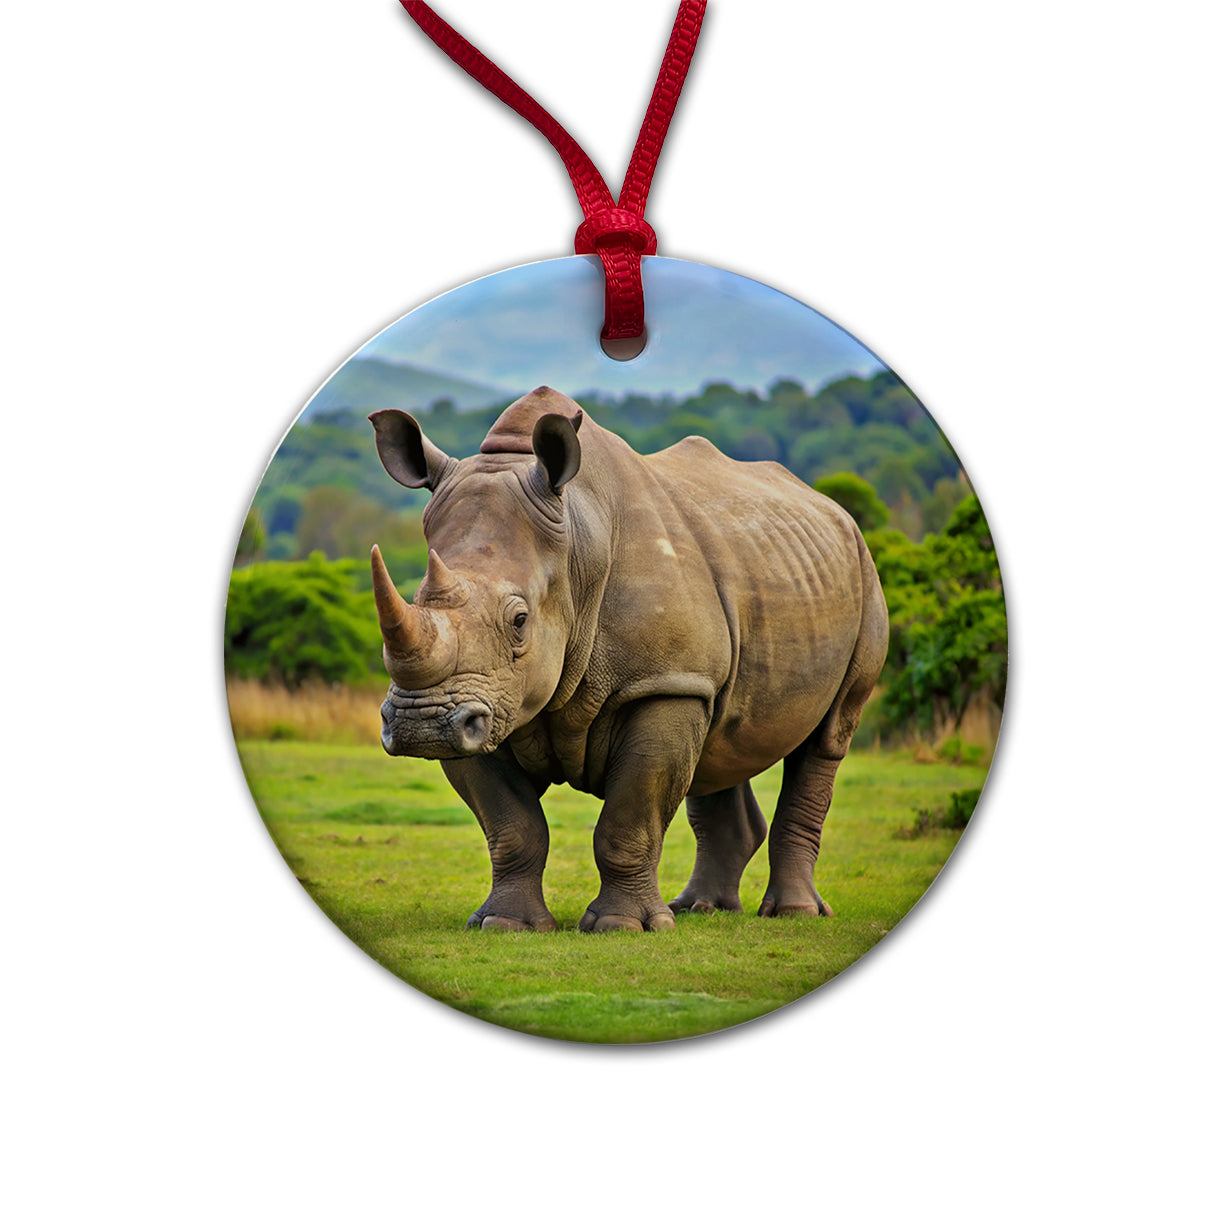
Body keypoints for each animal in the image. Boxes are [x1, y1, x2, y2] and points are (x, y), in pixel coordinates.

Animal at [368, 386, 888, 932]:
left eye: (520, 621)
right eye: (414, 598)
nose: (420, 724)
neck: (577, 542)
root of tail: (831, 509)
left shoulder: (663, 682)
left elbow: (630, 816)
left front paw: (623, 926)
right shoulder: (486, 705)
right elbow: (511, 825)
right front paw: (506, 925)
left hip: (862, 573)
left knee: (826, 738)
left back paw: (792, 913)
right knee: (719, 741)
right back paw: (699, 908)